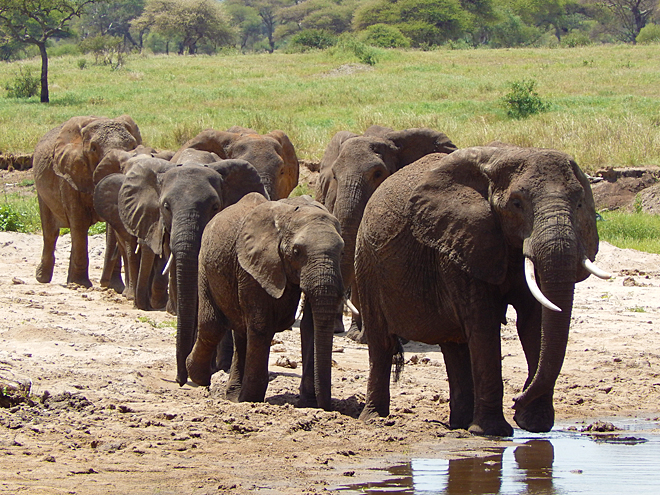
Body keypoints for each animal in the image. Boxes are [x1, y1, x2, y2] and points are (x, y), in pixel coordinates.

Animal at [33, 115, 142, 288]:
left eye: (132, 146)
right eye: (93, 149)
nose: (104, 284)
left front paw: (116, 287)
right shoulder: (69, 175)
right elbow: (79, 222)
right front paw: (80, 284)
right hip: (41, 189)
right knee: (51, 232)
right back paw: (43, 278)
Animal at [187, 193, 346, 410]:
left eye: (342, 251)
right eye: (296, 251)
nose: (326, 407)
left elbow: (311, 325)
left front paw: (308, 404)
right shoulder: (252, 266)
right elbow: (261, 326)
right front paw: (250, 399)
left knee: (241, 331)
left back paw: (232, 395)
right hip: (205, 263)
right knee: (213, 326)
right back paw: (200, 378)